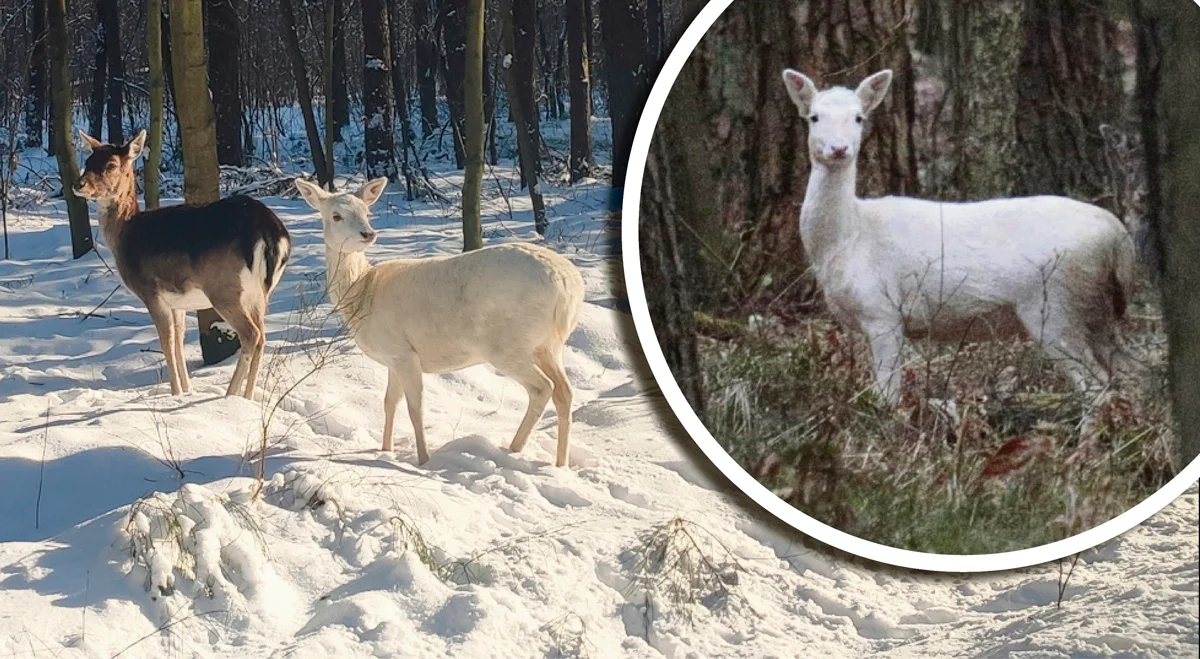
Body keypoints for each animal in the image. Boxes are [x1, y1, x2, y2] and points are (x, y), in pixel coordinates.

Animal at [75, 127, 290, 396]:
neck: (126, 233)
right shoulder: (177, 301)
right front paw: (187, 391)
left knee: (251, 334)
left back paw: (230, 394)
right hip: (259, 293)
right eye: (88, 161)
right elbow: (178, 342)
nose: (78, 184)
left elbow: (166, 343)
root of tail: (271, 231)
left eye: (111, 165)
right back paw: (246, 397)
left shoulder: (151, 292)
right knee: (262, 335)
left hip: (224, 288)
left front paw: (175, 393)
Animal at [295, 177, 585, 465]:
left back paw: (513, 449)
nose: (368, 233)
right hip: (548, 345)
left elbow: (415, 408)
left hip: (508, 344)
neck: (363, 292)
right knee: (565, 391)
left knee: (542, 388)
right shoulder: (392, 358)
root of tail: (568, 287)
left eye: (366, 212)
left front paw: (423, 460)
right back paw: (559, 463)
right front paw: (385, 450)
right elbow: (389, 403)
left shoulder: (403, 353)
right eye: (336, 215)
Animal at [782, 69, 1137, 403]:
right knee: (1132, 374)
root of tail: (1117, 235)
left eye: (859, 117)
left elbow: (887, 395)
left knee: (1096, 386)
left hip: (1056, 305)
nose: (839, 148)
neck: (849, 238)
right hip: (1098, 310)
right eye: (814, 117)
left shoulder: (882, 311)